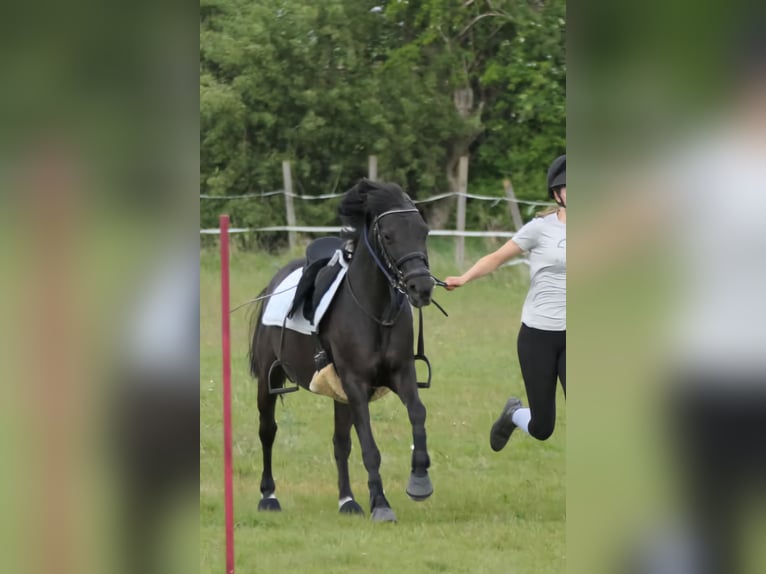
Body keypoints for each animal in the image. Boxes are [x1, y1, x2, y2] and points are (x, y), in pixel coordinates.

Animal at [250, 180, 436, 520]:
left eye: (423, 232)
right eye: (388, 235)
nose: (422, 288)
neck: (374, 311)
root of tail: (275, 282)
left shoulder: (400, 374)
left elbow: (417, 413)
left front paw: (419, 480)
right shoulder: (356, 384)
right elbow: (369, 446)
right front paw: (381, 503)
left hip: (338, 393)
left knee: (340, 443)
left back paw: (347, 501)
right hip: (268, 382)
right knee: (267, 431)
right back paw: (268, 496)